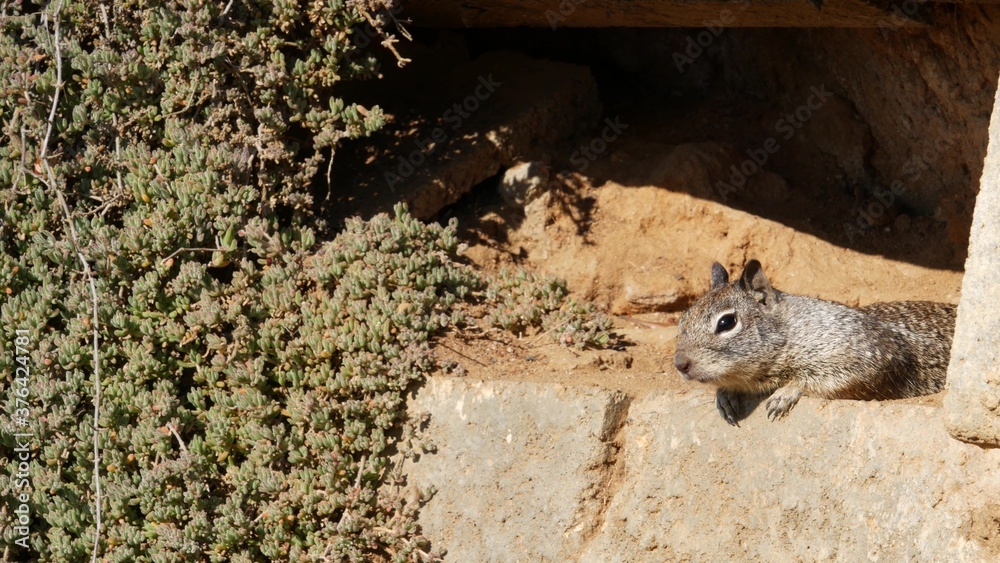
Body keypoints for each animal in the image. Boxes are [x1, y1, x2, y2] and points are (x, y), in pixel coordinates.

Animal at [673, 260, 956, 425]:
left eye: (726, 322)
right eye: (683, 317)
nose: (679, 363)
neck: (792, 330)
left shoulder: (866, 354)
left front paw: (786, 393)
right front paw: (724, 396)